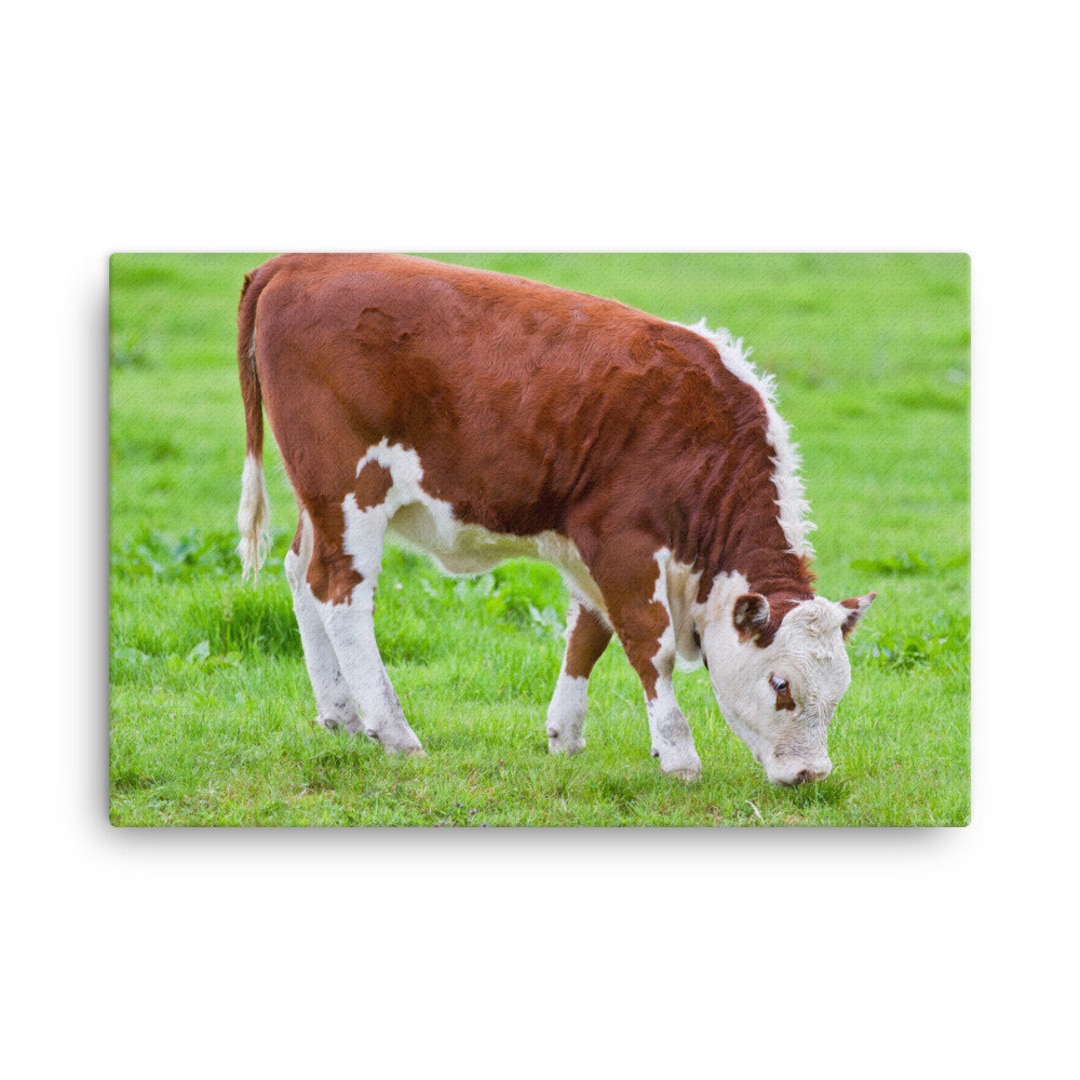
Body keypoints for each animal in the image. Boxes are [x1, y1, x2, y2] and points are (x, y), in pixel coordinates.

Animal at [236, 254, 874, 784]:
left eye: (840, 691)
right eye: (781, 684)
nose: (812, 773)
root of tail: (296, 263)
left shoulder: (589, 552)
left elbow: (588, 634)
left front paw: (564, 735)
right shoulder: (623, 544)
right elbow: (650, 646)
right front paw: (678, 754)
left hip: (319, 501)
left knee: (300, 573)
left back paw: (339, 713)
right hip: (348, 491)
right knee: (340, 592)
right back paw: (394, 731)